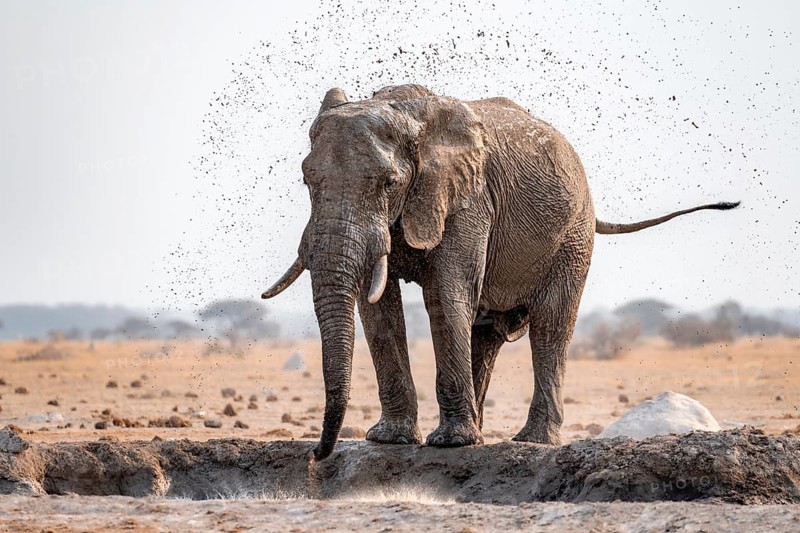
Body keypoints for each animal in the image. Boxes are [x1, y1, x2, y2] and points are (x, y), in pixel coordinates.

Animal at [262, 84, 738, 460]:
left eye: (389, 184)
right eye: (307, 181)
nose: (318, 455)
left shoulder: (468, 198)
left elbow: (445, 293)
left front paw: (449, 444)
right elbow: (378, 307)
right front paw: (390, 440)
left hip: (573, 238)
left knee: (550, 327)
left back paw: (528, 441)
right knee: (487, 333)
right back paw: (480, 430)